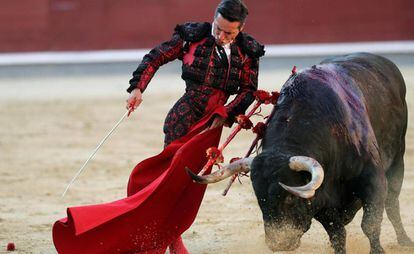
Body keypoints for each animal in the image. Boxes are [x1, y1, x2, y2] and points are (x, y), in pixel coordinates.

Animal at [190, 52, 414, 253]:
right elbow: (337, 234)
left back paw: (404, 240)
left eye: (290, 198)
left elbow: (370, 224)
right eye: (260, 198)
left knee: (392, 203)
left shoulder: (373, 179)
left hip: (397, 160)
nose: (278, 244)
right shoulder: (322, 200)